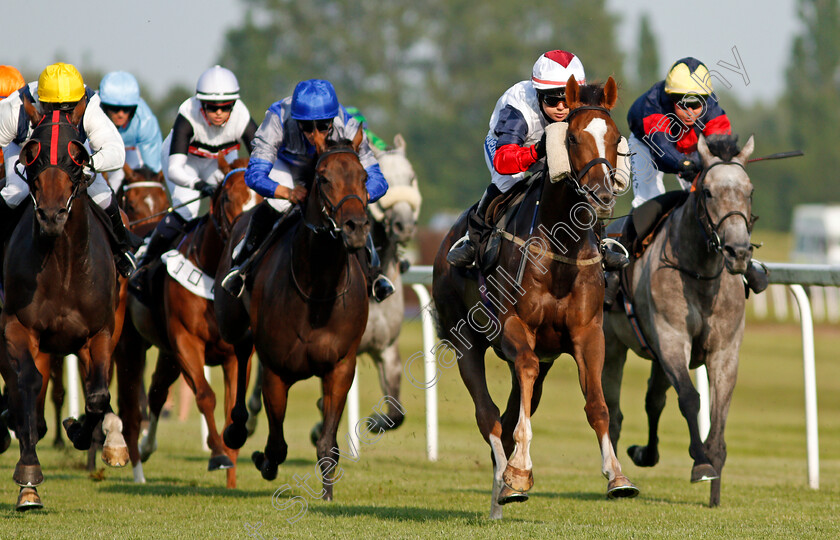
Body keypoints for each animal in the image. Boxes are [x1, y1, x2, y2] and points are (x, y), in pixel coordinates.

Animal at [0, 101, 128, 510]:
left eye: (77, 155)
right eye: (33, 153)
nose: (52, 215)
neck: (62, 266)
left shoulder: (100, 333)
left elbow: (98, 395)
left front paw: (81, 431)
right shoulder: (17, 327)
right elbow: (27, 384)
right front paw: (28, 477)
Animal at [131, 156, 260, 490]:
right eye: (227, 197)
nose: (244, 245)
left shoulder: (237, 354)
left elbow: (232, 408)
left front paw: (232, 478)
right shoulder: (185, 341)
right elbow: (205, 396)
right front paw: (218, 455)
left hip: (166, 353)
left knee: (157, 390)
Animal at [217, 129, 370, 500]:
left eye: (364, 177)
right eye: (324, 178)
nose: (356, 227)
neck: (318, 291)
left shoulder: (340, 367)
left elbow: (327, 444)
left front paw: (327, 496)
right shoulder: (277, 370)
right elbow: (277, 445)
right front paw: (263, 460)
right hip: (230, 320)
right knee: (241, 349)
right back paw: (236, 427)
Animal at [434, 76, 636, 520]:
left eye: (615, 138)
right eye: (573, 137)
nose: (601, 196)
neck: (561, 250)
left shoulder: (587, 333)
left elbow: (598, 405)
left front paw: (617, 476)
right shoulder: (513, 326)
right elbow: (518, 381)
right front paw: (520, 472)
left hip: (546, 359)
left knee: (511, 413)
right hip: (464, 341)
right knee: (489, 416)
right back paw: (503, 485)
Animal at [604, 134, 756, 506]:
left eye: (749, 190)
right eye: (709, 192)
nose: (738, 253)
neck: (701, 273)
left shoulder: (724, 352)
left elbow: (719, 409)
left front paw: (715, 475)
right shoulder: (672, 339)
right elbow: (690, 398)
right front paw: (701, 463)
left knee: (653, 400)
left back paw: (645, 454)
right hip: (613, 346)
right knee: (613, 412)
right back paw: (617, 480)